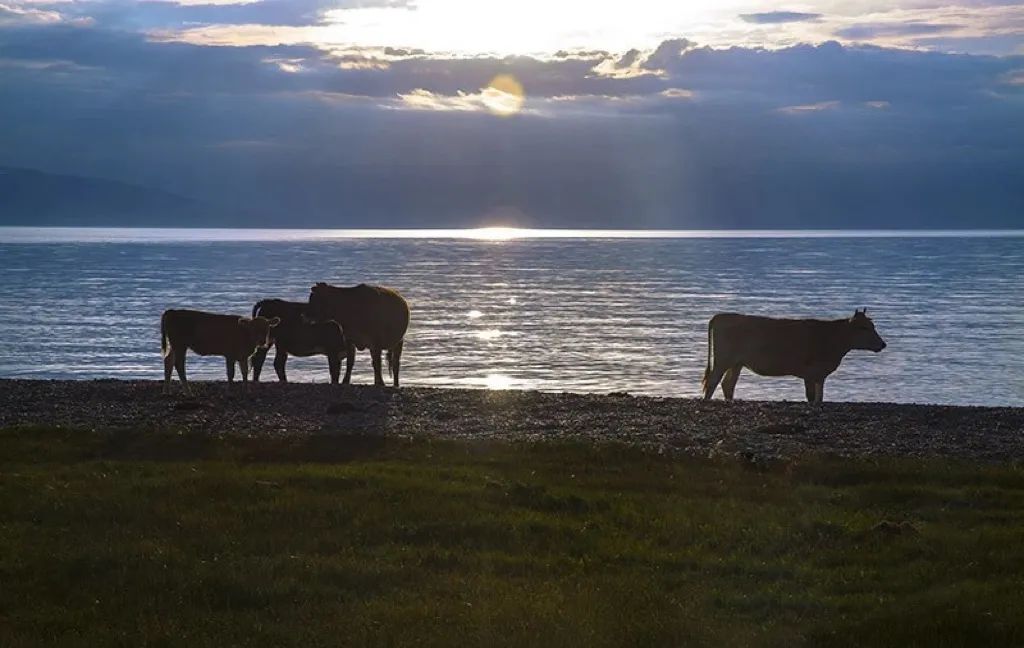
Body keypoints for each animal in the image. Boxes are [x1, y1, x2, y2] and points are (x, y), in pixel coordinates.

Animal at [700, 309, 884, 405]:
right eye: (864, 328)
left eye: (872, 326)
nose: (883, 344)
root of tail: (721, 315)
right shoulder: (810, 372)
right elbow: (811, 396)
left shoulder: (820, 374)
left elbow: (820, 397)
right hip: (722, 360)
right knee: (713, 381)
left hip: (736, 363)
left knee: (728, 384)